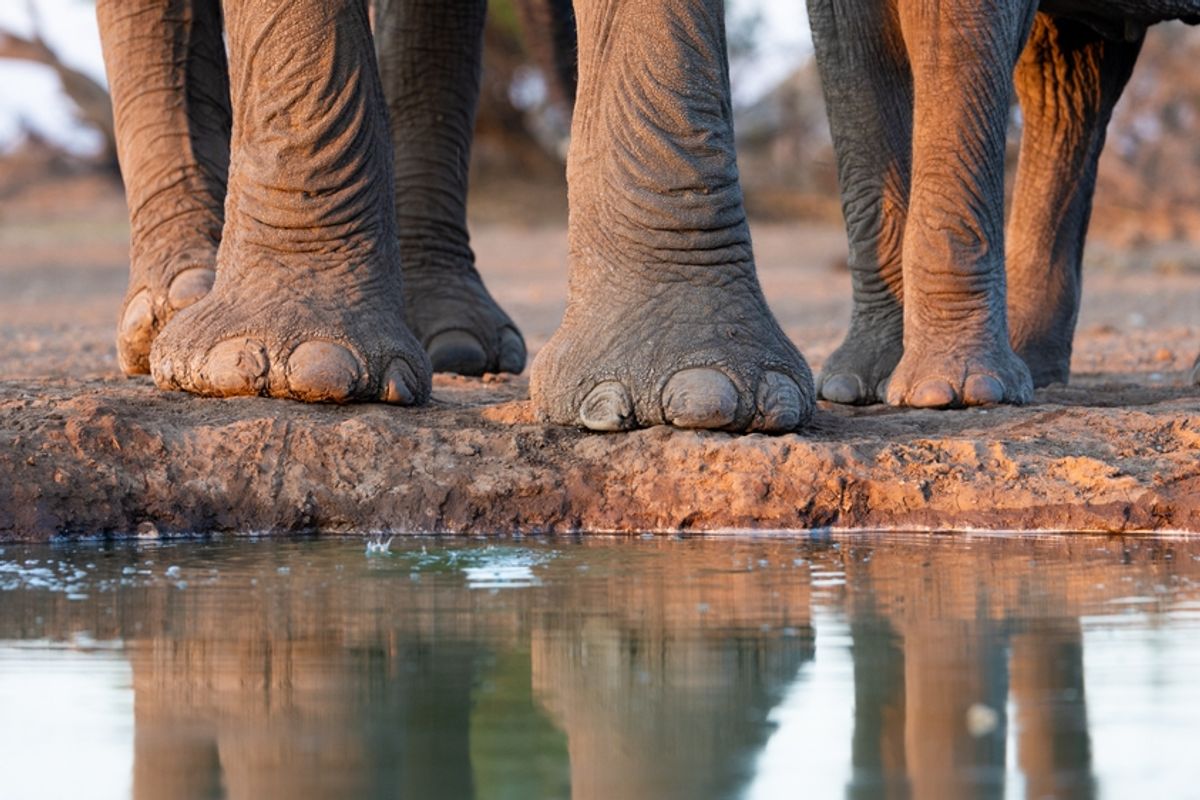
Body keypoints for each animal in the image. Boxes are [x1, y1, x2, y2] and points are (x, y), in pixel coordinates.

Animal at [807, 0, 1200, 408]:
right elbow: (847, 44)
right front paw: (850, 389)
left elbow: (949, 33)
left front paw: (946, 393)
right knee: (1067, 81)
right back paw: (1032, 368)